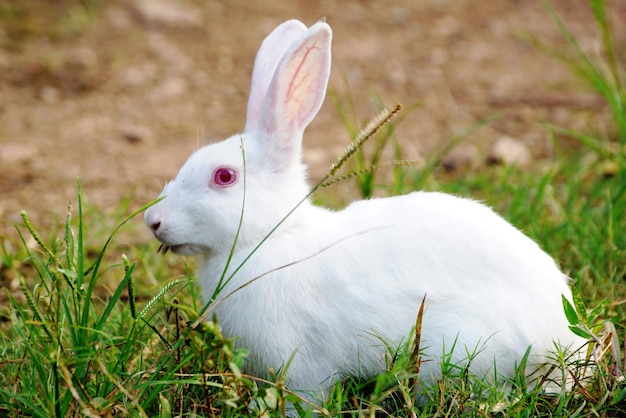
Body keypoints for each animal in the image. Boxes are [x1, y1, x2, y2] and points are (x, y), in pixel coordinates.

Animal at [145, 18, 584, 402]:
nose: (153, 221)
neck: (271, 237)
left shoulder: (302, 364)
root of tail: (562, 338)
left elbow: (306, 398)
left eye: (224, 176)